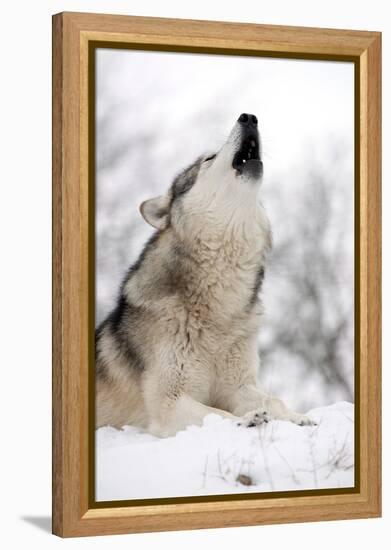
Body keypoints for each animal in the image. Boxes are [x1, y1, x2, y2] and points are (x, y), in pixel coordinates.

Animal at [95, 114, 316, 438]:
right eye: (209, 159)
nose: (248, 117)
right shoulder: (169, 402)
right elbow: (217, 413)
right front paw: (247, 420)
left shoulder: (238, 386)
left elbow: (273, 400)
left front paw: (298, 418)